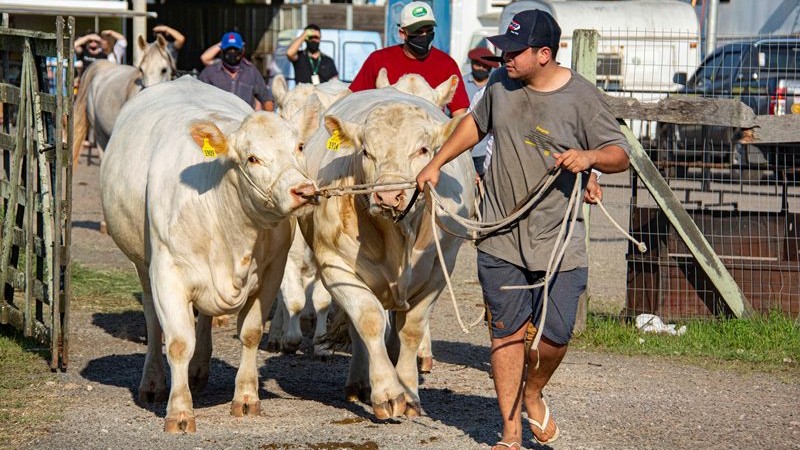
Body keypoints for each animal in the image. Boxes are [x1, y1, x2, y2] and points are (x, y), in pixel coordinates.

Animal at [101, 75, 320, 430]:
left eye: (299, 147)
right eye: (252, 158)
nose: (303, 191)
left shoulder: (271, 271)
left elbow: (250, 333)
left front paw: (246, 398)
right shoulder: (167, 272)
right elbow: (178, 342)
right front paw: (179, 411)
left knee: (203, 317)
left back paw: (198, 369)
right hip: (142, 264)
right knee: (153, 320)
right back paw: (153, 382)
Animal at [300, 89, 476, 420]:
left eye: (423, 149)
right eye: (366, 152)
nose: (388, 196)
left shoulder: (437, 271)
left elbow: (412, 330)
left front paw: (409, 391)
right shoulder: (335, 265)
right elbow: (368, 322)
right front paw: (388, 393)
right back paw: (359, 383)